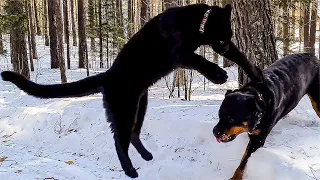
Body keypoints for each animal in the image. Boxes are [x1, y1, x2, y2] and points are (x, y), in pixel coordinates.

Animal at [1, 3, 262, 178]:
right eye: (223, 37)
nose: (225, 47)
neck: (196, 23)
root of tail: (108, 76)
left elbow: (241, 57)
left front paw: (256, 73)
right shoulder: (179, 53)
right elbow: (200, 60)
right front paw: (219, 75)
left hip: (140, 104)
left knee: (134, 134)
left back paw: (147, 156)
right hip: (123, 108)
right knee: (119, 139)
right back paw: (130, 171)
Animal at [212, 52, 320, 180]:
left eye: (231, 119)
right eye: (219, 115)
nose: (215, 132)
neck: (259, 96)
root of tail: (313, 55)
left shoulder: (258, 139)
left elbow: (245, 158)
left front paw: (236, 176)